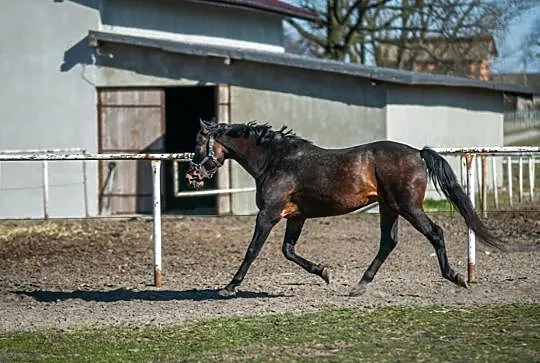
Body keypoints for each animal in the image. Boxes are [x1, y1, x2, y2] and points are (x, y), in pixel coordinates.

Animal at [186, 119, 502, 298]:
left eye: (199, 144)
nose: (192, 175)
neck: (276, 161)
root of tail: (417, 153)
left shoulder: (269, 215)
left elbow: (252, 250)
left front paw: (229, 287)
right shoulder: (295, 217)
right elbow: (288, 251)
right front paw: (324, 272)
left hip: (408, 206)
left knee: (435, 233)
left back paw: (456, 277)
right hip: (389, 208)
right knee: (388, 242)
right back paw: (359, 285)